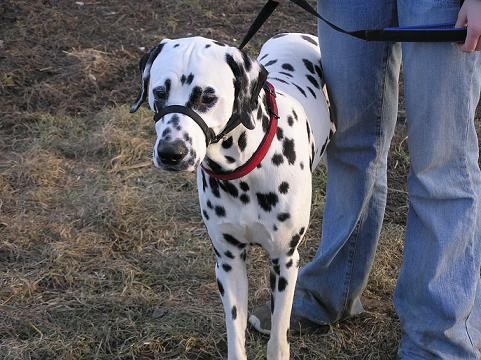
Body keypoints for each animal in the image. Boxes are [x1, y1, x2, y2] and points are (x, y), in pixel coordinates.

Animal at [129, 32, 336, 358]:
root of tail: (293, 34)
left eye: (207, 97)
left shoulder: (284, 261)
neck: (243, 171)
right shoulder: (228, 262)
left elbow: (278, 338)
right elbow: (235, 333)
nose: (171, 153)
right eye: (159, 92)